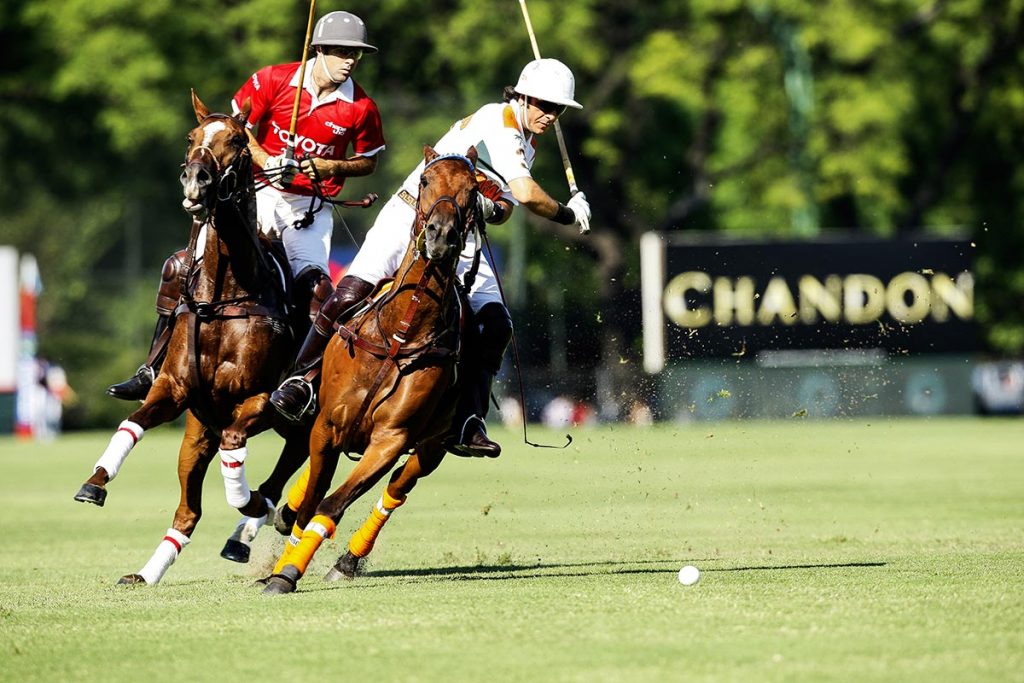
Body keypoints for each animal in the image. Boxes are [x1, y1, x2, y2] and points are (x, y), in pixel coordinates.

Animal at [72, 89, 307, 581]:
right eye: (191, 135)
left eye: (237, 140)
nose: (196, 180)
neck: (224, 296)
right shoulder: (175, 388)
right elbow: (132, 422)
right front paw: (94, 483)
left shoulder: (256, 398)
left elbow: (238, 451)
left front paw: (249, 503)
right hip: (198, 432)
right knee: (188, 511)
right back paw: (147, 573)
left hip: (300, 419)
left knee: (284, 472)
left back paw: (254, 523)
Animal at [260, 148, 475, 593]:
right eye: (425, 181)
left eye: (474, 189)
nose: (441, 237)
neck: (401, 332)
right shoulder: (326, 424)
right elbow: (312, 500)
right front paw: (282, 565)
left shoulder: (391, 439)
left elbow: (331, 505)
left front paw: (288, 572)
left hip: (433, 446)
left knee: (396, 491)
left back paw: (346, 561)